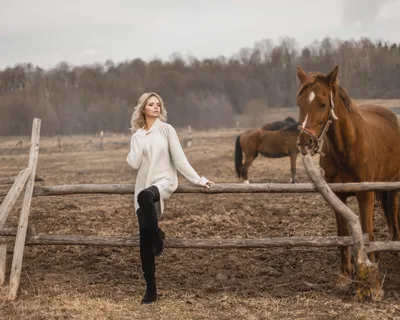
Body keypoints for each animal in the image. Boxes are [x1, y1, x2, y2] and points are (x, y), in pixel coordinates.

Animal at [296, 65, 400, 290]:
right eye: (299, 103)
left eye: (323, 103)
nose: (304, 142)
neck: (347, 149)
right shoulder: (338, 196)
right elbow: (342, 234)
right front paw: (344, 275)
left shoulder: (365, 195)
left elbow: (367, 231)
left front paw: (371, 271)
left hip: (393, 186)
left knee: (393, 211)